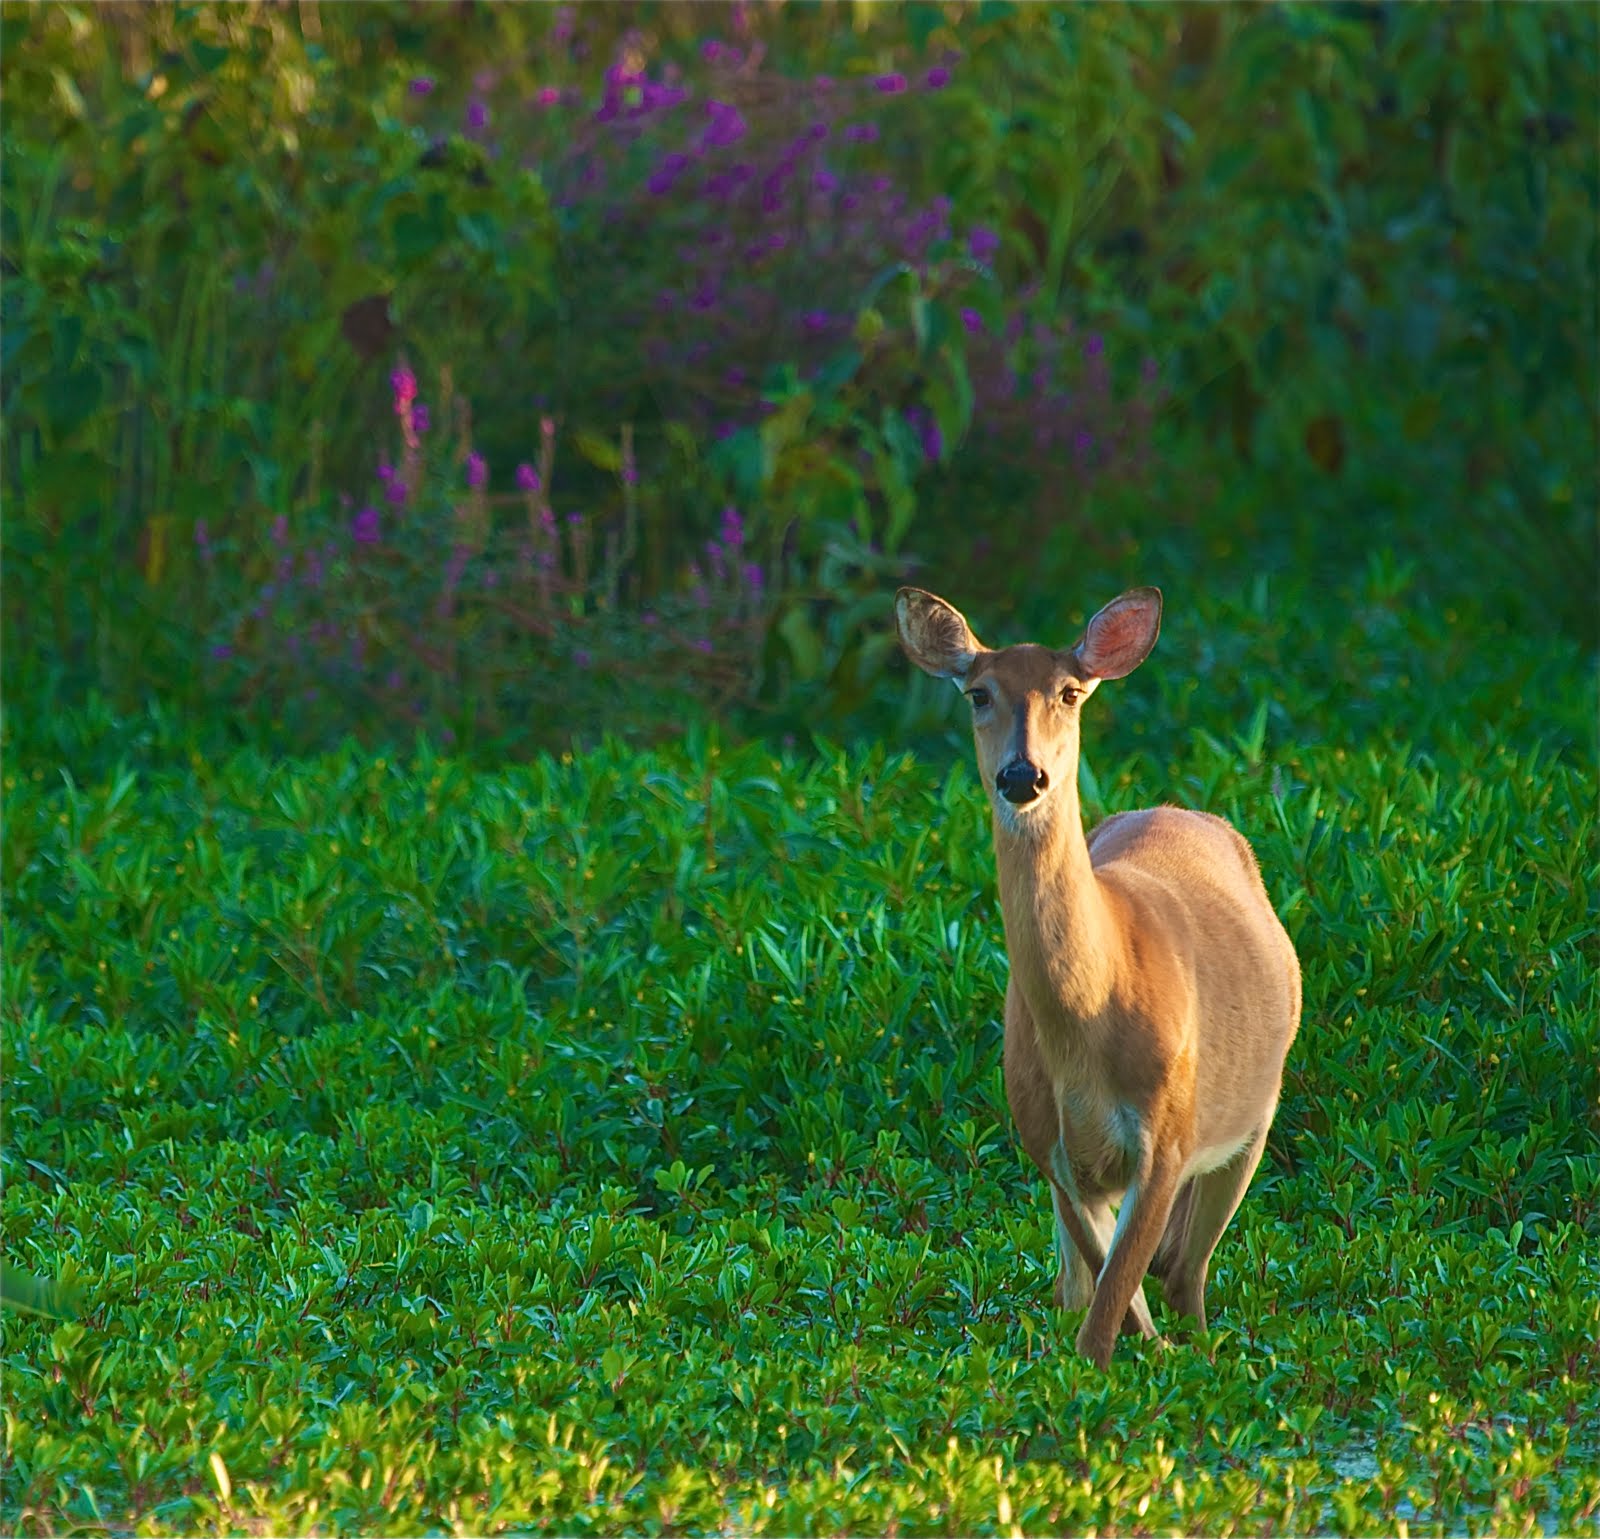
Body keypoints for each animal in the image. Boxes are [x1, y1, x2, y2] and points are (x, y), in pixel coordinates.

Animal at [895, 585, 1301, 1368]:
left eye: (1070, 691)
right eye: (978, 692)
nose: (1022, 775)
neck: (1090, 1019)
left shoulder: (1168, 1133)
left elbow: (1115, 1306)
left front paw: (1150, 1357)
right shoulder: (1045, 1143)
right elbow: (1104, 1294)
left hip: (1254, 1115)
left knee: (1190, 1276)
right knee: (1098, 1282)